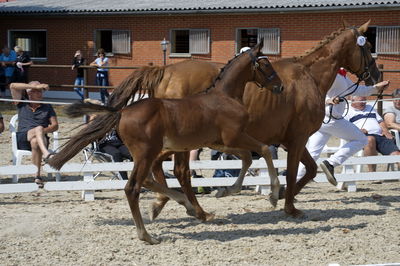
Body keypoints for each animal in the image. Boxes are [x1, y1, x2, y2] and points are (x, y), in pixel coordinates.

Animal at [48, 42, 282, 244]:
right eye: (265, 64)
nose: (279, 86)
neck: (225, 97)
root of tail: (122, 112)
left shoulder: (219, 143)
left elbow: (247, 158)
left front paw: (225, 190)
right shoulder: (234, 137)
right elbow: (262, 150)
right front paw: (273, 194)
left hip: (150, 153)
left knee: (150, 178)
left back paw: (181, 206)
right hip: (147, 153)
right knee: (134, 187)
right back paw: (148, 235)